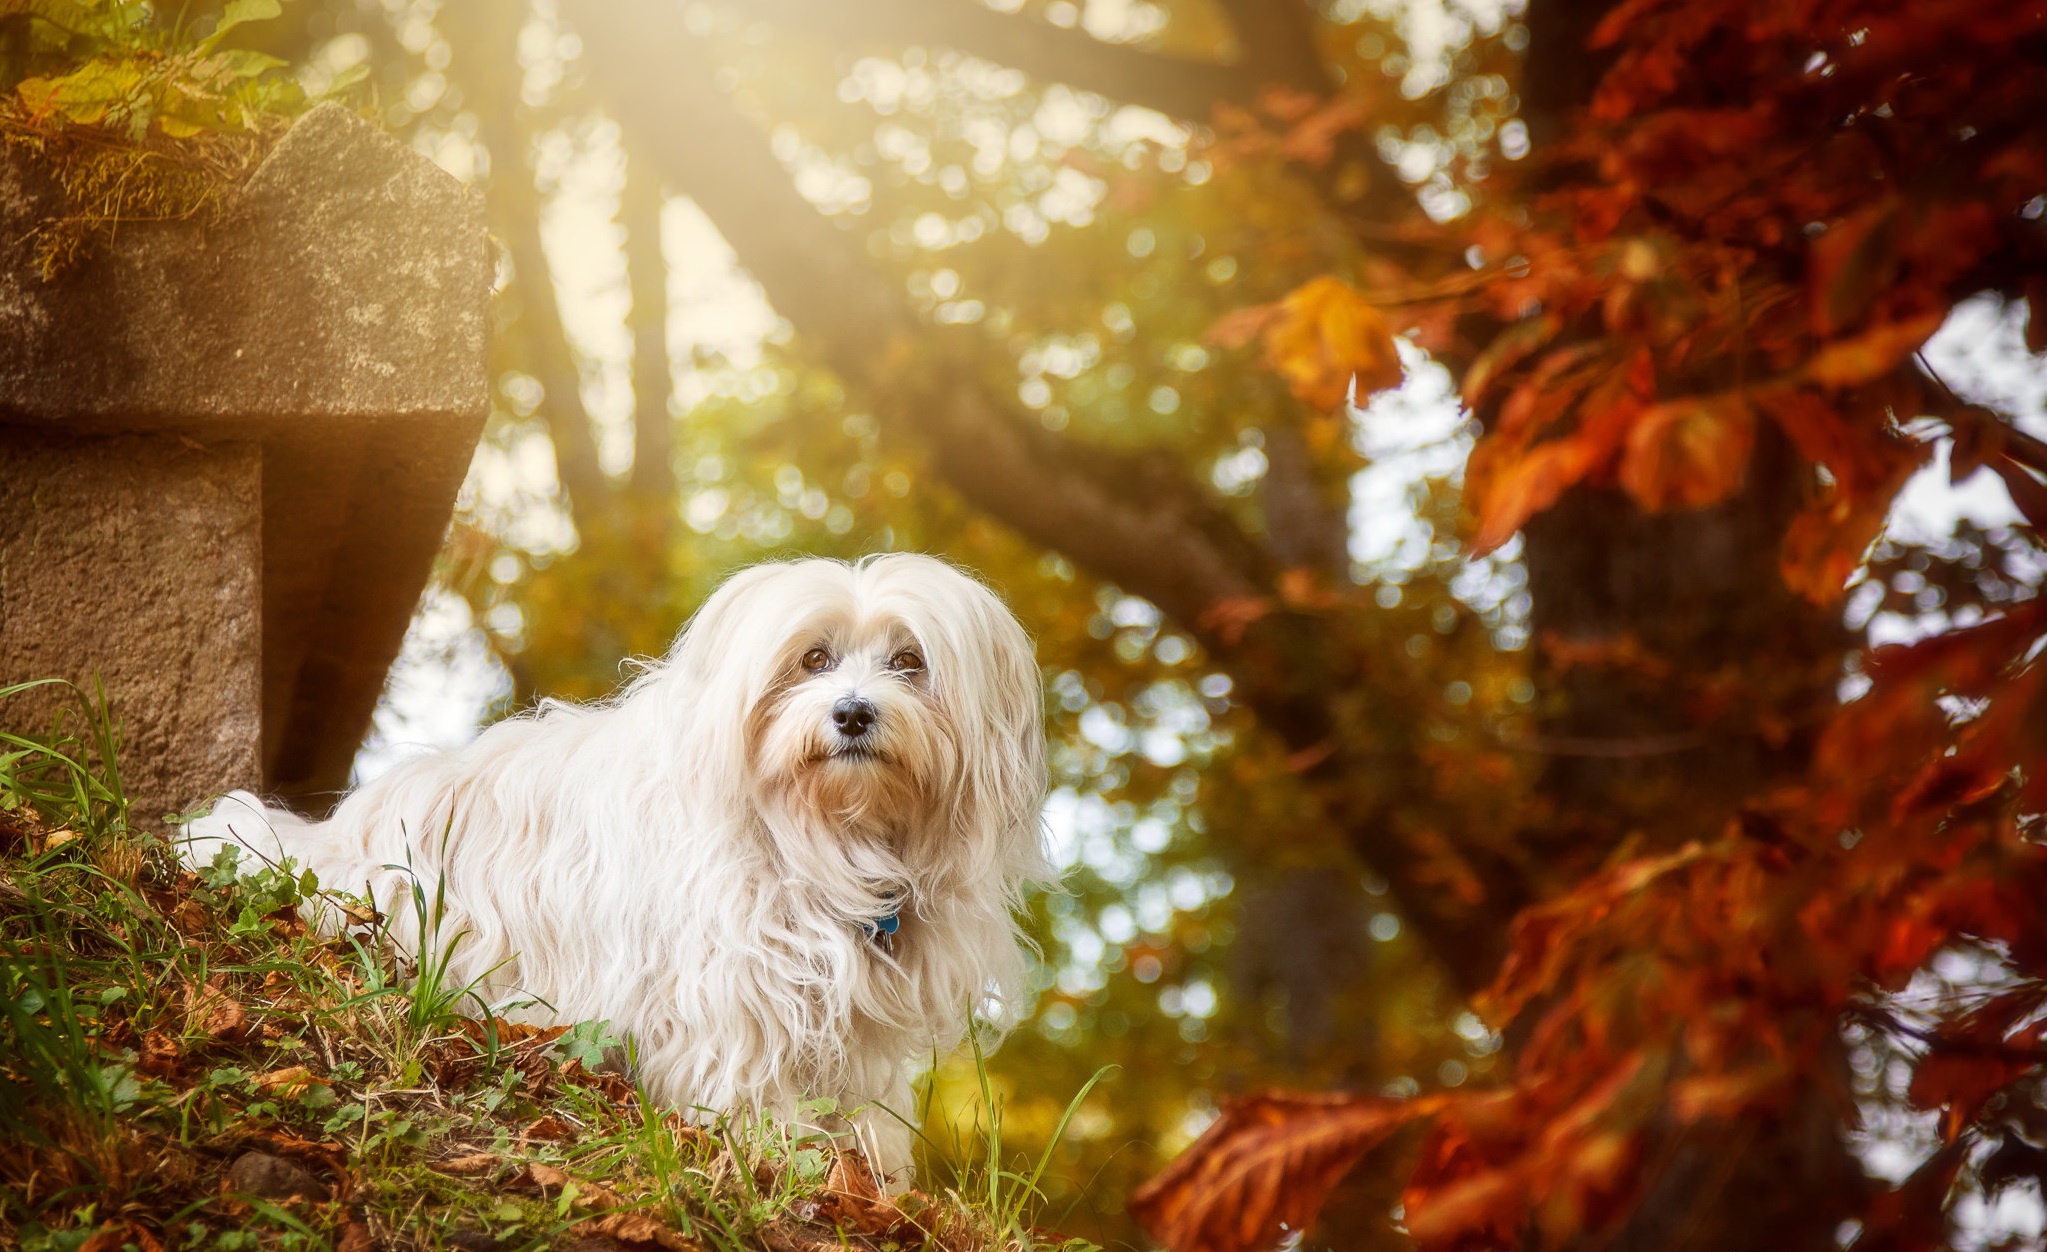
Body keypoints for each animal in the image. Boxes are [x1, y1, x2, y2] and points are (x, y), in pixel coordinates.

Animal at [180, 552, 1056, 1178]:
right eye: (812, 658)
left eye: (910, 662)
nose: (851, 713)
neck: (829, 838)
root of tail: (330, 839)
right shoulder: (733, 984)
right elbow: (749, 1074)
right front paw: (774, 1148)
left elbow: (860, 1089)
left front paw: (868, 1161)